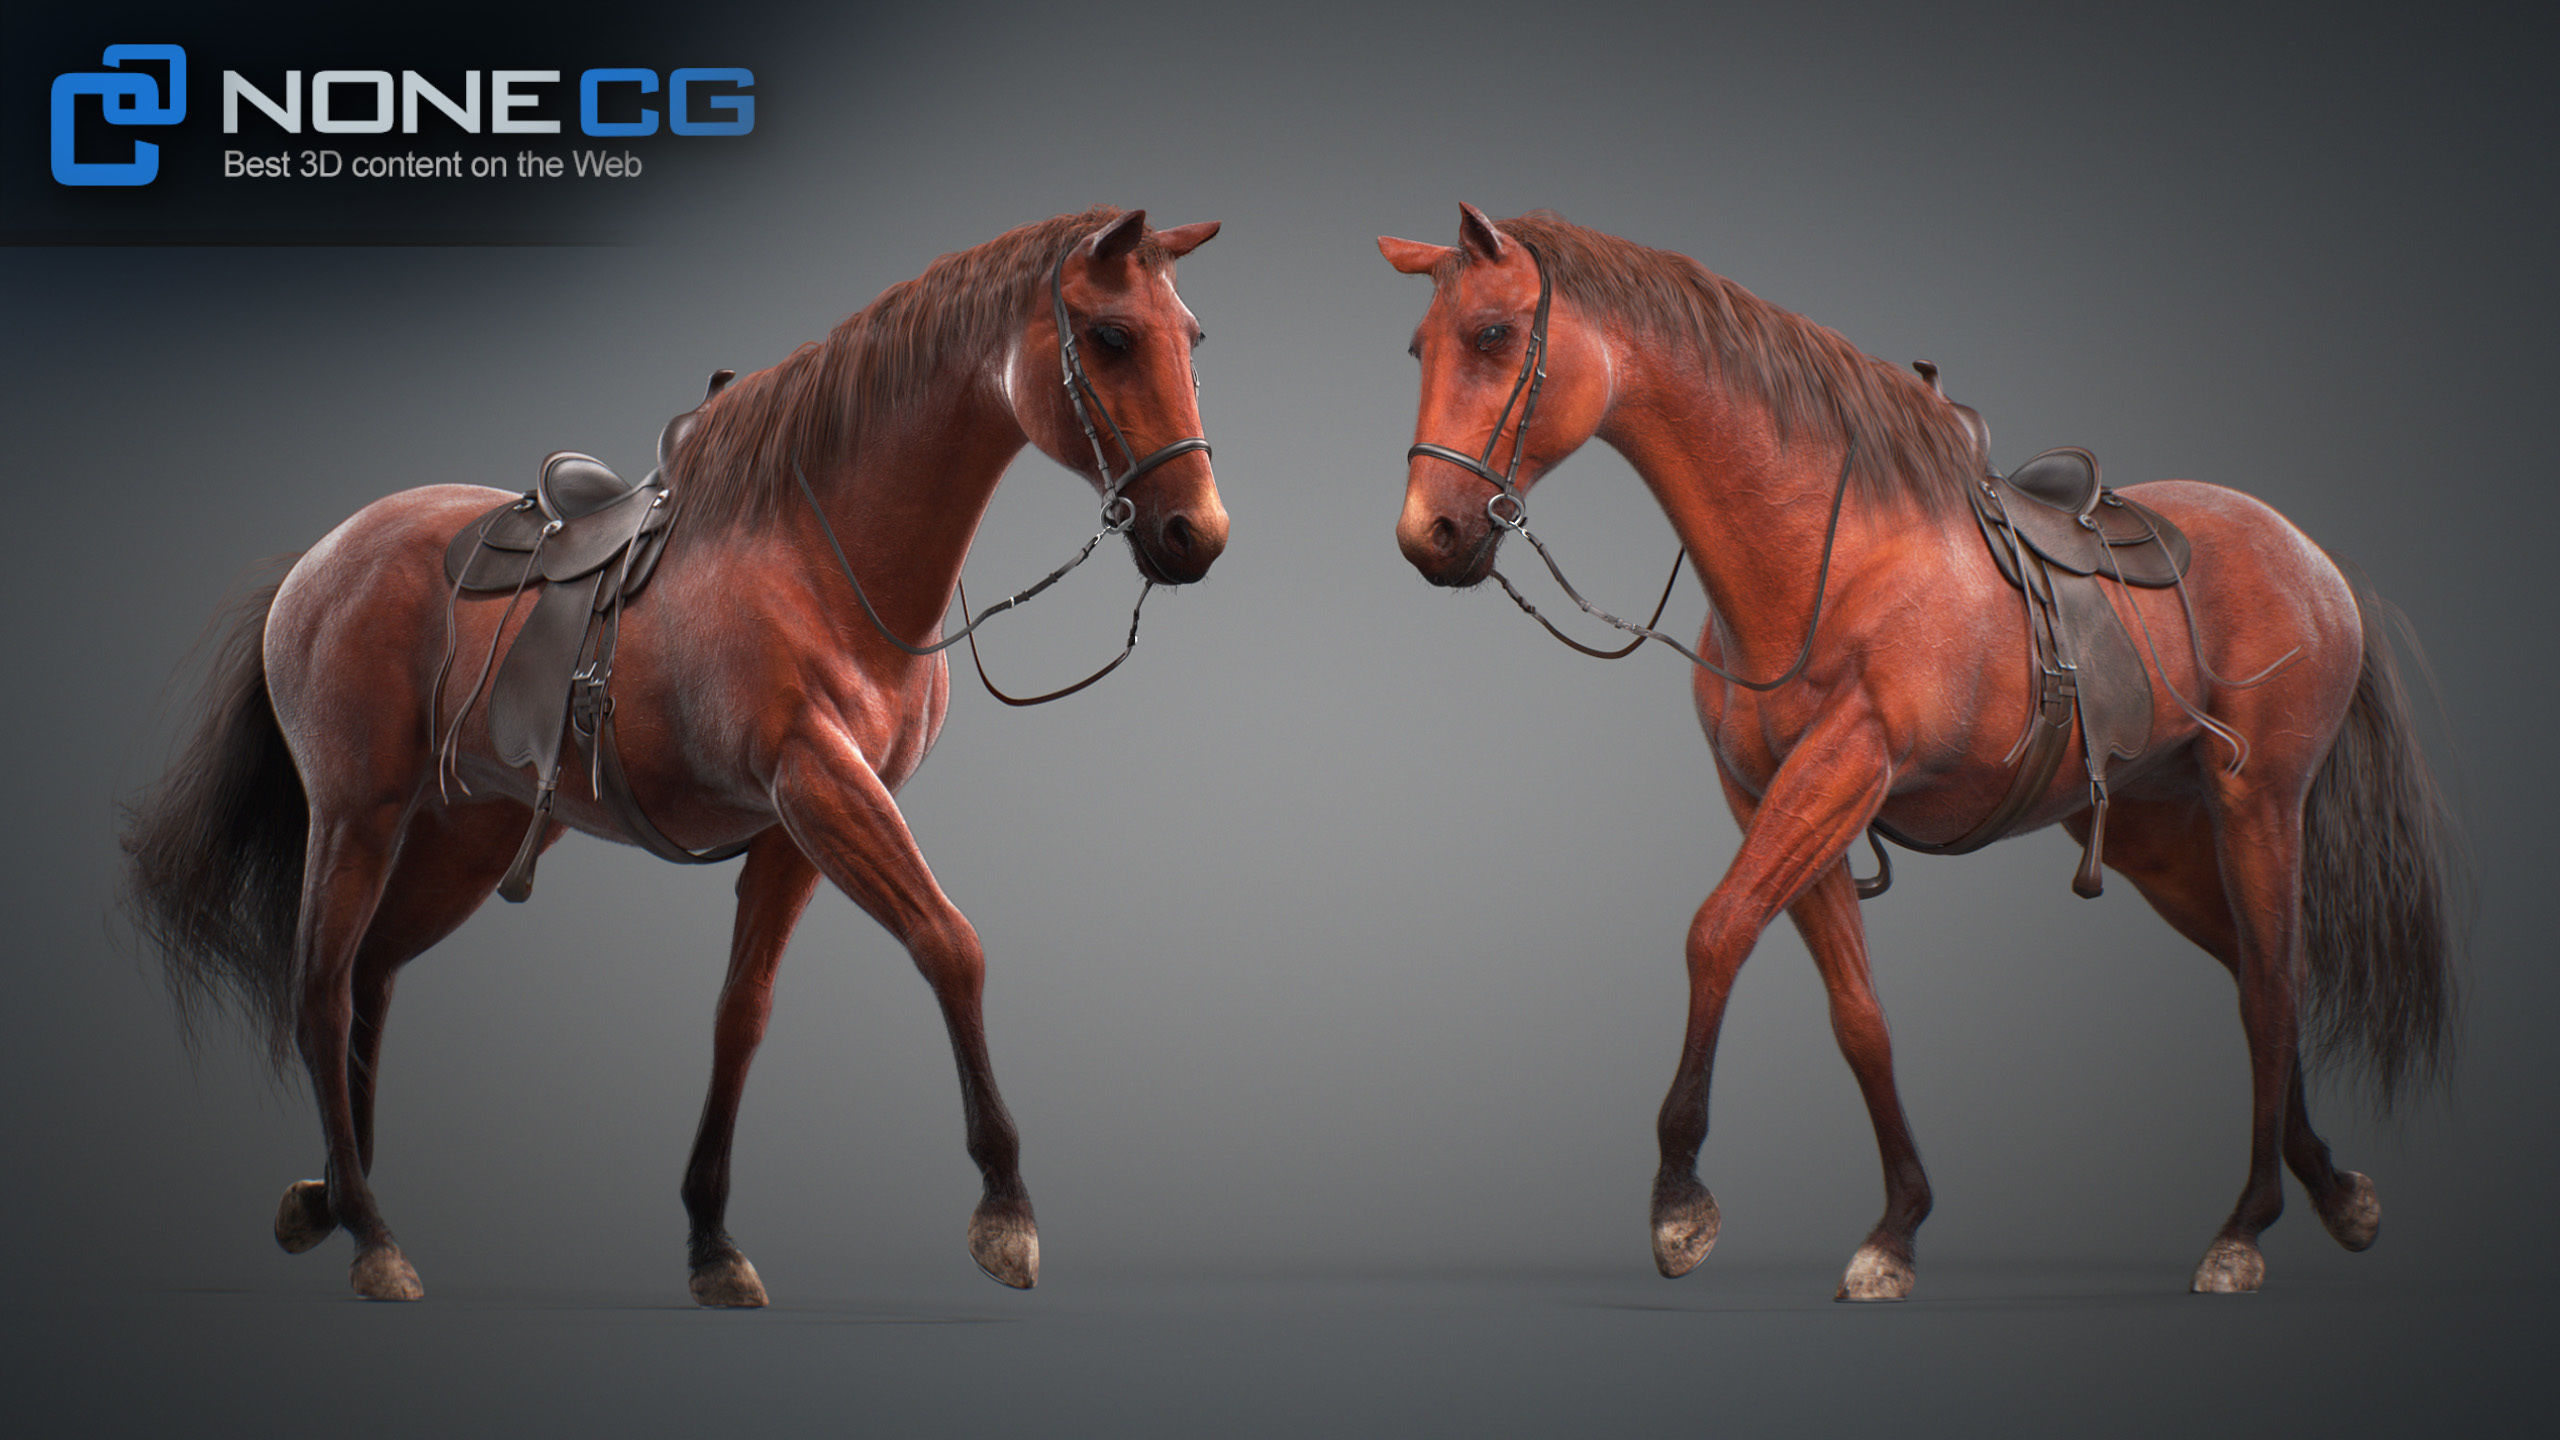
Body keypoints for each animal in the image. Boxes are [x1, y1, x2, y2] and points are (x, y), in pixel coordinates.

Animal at [122, 206, 1229, 1304]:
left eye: (1194, 338)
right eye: (1110, 337)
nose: (1199, 535)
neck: (818, 558)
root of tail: (315, 563)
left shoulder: (794, 830)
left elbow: (741, 1013)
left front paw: (710, 1237)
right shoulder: (822, 786)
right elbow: (950, 945)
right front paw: (1004, 1210)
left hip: (465, 836)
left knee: (372, 975)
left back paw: (327, 1194)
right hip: (356, 816)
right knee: (319, 986)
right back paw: (371, 1234)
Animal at [1378, 205, 2462, 1299]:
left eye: (1493, 336)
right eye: (1420, 348)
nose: (1429, 535)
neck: (1828, 556)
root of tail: (2313, 559)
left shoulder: (1843, 770)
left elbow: (1716, 932)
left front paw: (1679, 1202)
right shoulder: (1774, 799)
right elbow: (1858, 1014)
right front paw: (1897, 1226)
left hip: (2259, 805)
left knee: (2276, 983)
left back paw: (2244, 1227)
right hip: (2154, 837)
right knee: (2252, 970)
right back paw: (2332, 1190)